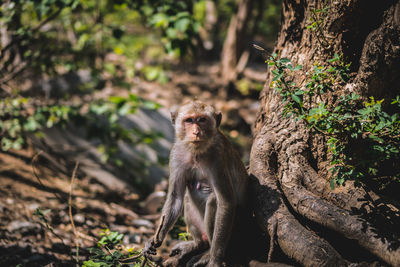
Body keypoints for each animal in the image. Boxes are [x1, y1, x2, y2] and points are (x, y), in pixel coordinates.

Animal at [142, 101, 250, 267]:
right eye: (189, 120)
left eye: (202, 120)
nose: (196, 132)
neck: (197, 152)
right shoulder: (176, 154)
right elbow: (176, 197)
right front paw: (155, 239)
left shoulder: (217, 157)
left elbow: (225, 202)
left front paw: (215, 259)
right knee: (187, 197)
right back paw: (198, 245)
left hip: (238, 231)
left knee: (213, 201)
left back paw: (208, 253)